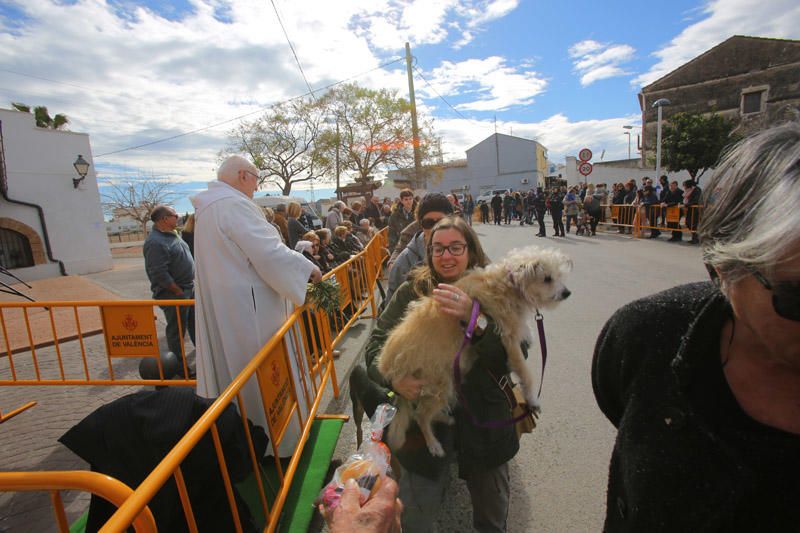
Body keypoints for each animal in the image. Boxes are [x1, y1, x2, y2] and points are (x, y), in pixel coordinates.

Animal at [378, 246, 572, 458]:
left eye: (558, 275)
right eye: (547, 278)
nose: (567, 293)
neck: (508, 284)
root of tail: (387, 367)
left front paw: (528, 336)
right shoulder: (509, 340)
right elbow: (526, 375)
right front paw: (533, 400)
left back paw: (444, 418)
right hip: (440, 383)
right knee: (420, 415)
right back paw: (433, 443)